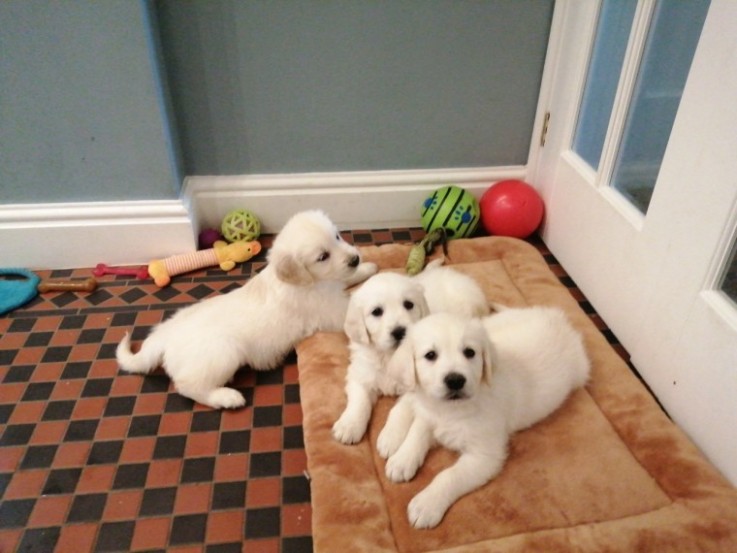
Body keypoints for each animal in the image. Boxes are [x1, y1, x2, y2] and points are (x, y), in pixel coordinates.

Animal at [330, 264, 486, 444]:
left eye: (408, 304)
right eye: (377, 312)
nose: (400, 332)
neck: (389, 355)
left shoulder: (416, 388)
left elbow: (399, 411)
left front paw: (390, 437)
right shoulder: (360, 372)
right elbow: (359, 400)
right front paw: (349, 425)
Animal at [380, 306, 592, 528]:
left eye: (470, 352)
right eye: (430, 355)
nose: (455, 380)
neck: (450, 410)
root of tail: (556, 317)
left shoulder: (484, 456)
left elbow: (449, 475)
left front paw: (427, 504)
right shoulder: (431, 412)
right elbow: (418, 430)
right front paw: (402, 459)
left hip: (580, 372)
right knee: (408, 397)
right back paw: (391, 436)